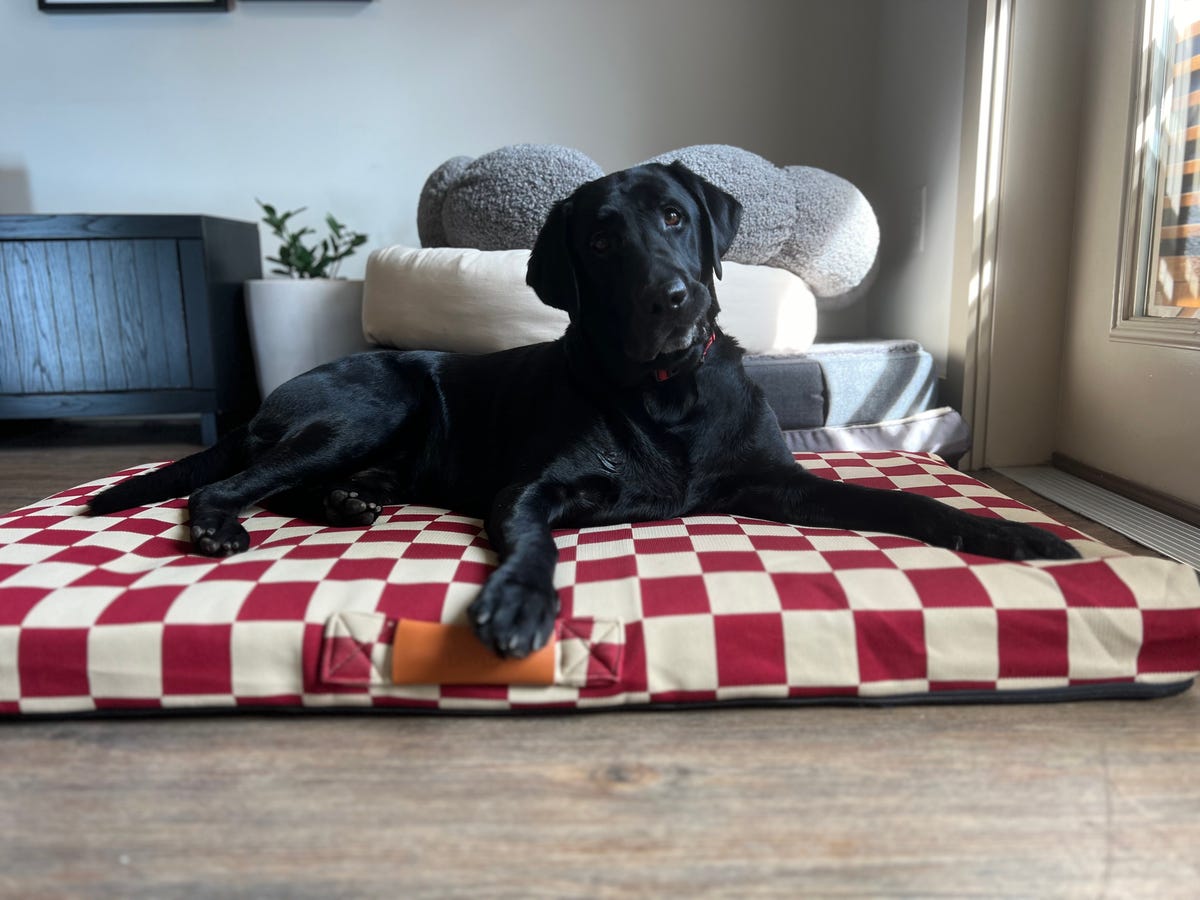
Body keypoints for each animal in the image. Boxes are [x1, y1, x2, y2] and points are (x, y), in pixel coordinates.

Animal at [88, 164, 1075, 657]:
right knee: (240, 478)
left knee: (295, 482)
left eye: (675, 217)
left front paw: (1011, 532)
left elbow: (894, 499)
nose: (674, 298)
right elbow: (533, 542)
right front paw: (518, 605)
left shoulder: (778, 482)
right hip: (371, 403)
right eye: (601, 241)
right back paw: (224, 521)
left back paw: (349, 501)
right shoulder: (535, 490)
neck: (668, 390)